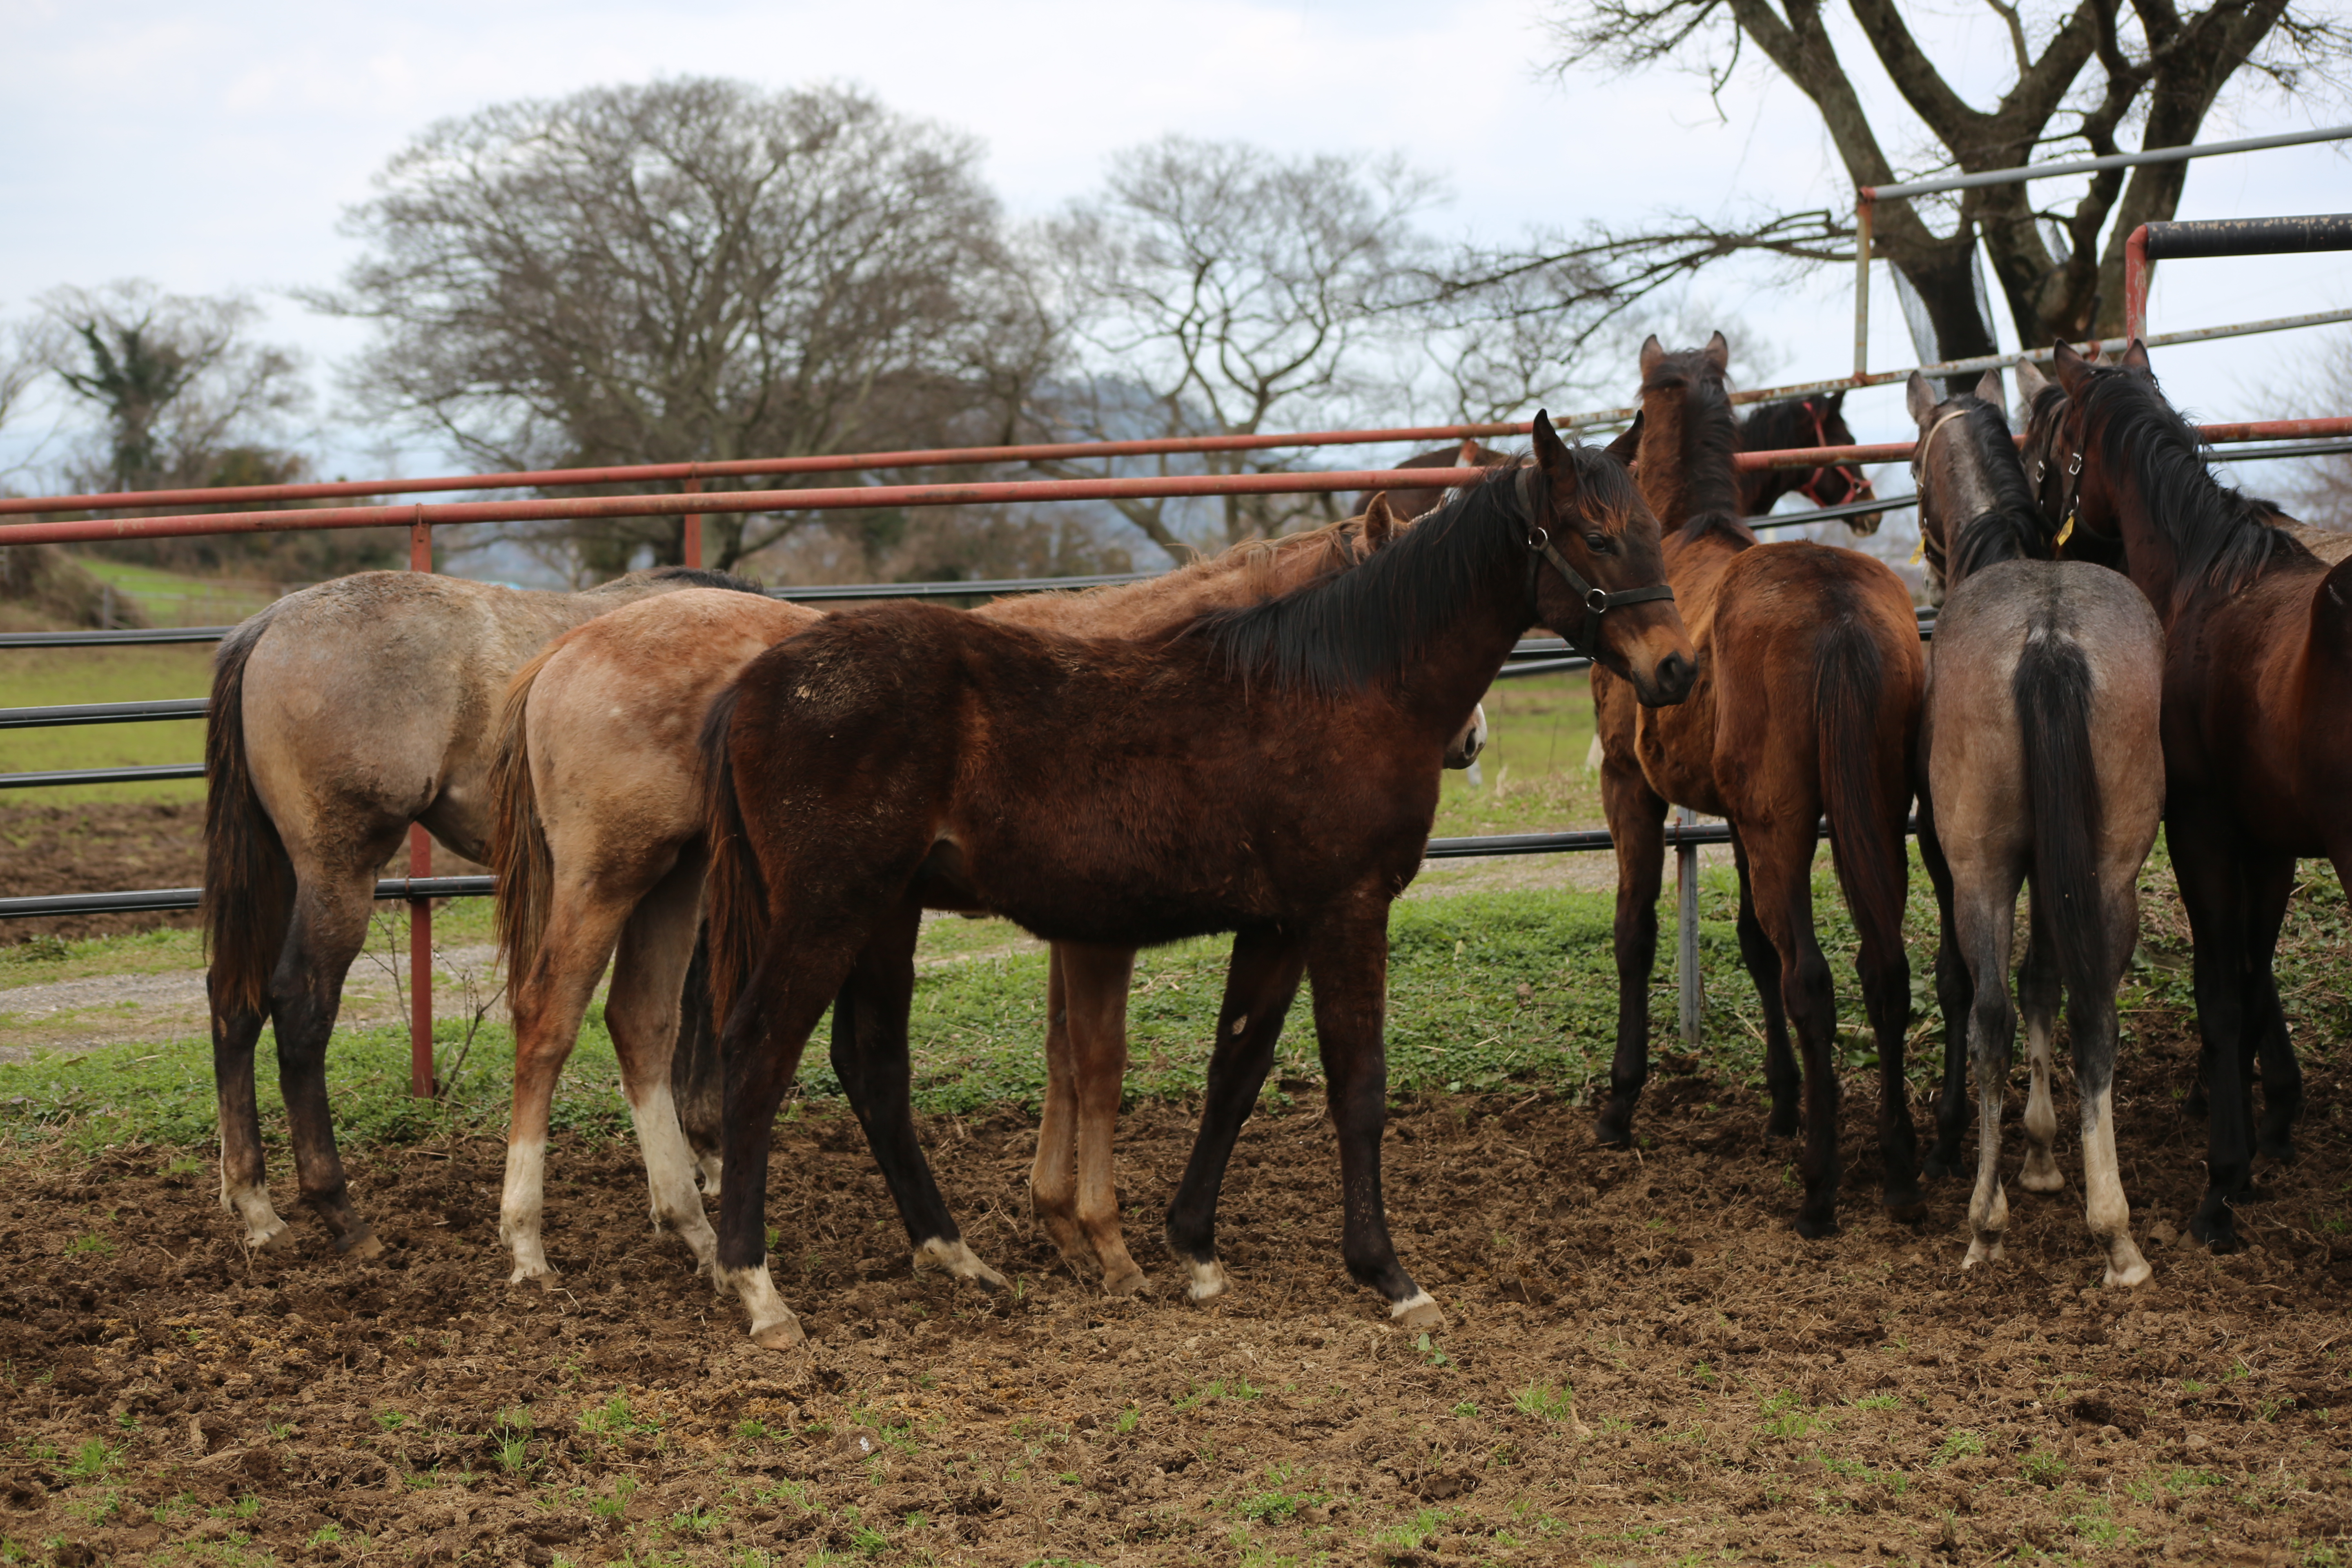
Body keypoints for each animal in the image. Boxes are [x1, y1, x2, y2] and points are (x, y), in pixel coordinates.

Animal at [202, 564, 757, 1260]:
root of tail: (270, 624)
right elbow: (703, 1006)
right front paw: (708, 1151)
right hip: (338, 875)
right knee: (301, 1007)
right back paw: (341, 1214)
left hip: (274, 871)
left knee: (234, 1001)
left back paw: (255, 1204)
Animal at [696, 416, 1693, 1354]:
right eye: (1597, 535)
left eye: (1651, 530)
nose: (1676, 669)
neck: (1353, 687)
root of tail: (755, 683)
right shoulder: (1347, 911)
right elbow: (1358, 1086)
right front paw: (1389, 1276)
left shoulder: (1279, 927)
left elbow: (1236, 1073)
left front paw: (1195, 1251)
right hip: (830, 911)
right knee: (757, 1053)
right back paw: (757, 1288)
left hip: (885, 912)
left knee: (870, 1065)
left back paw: (955, 1257)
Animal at [1590, 341, 1919, 1241]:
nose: (1865, 502)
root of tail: (1839, 607)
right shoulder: (1738, 821)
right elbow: (1750, 945)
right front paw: (1782, 1104)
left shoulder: (1629, 789)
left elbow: (1636, 934)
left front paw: (1620, 1104)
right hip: (1865, 823)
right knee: (1884, 969)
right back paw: (1902, 1167)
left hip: (1788, 832)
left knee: (1815, 979)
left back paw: (1820, 1188)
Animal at [1900, 369, 2154, 1288]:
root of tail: (2048, 636)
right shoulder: (2060, 869)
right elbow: (2050, 980)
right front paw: (2050, 1157)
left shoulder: (1954, 862)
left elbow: (1984, 994)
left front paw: (2024, 1168)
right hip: (2112, 873)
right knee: (2095, 1014)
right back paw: (2116, 1234)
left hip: (1979, 872)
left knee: (1992, 1014)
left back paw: (1986, 1224)